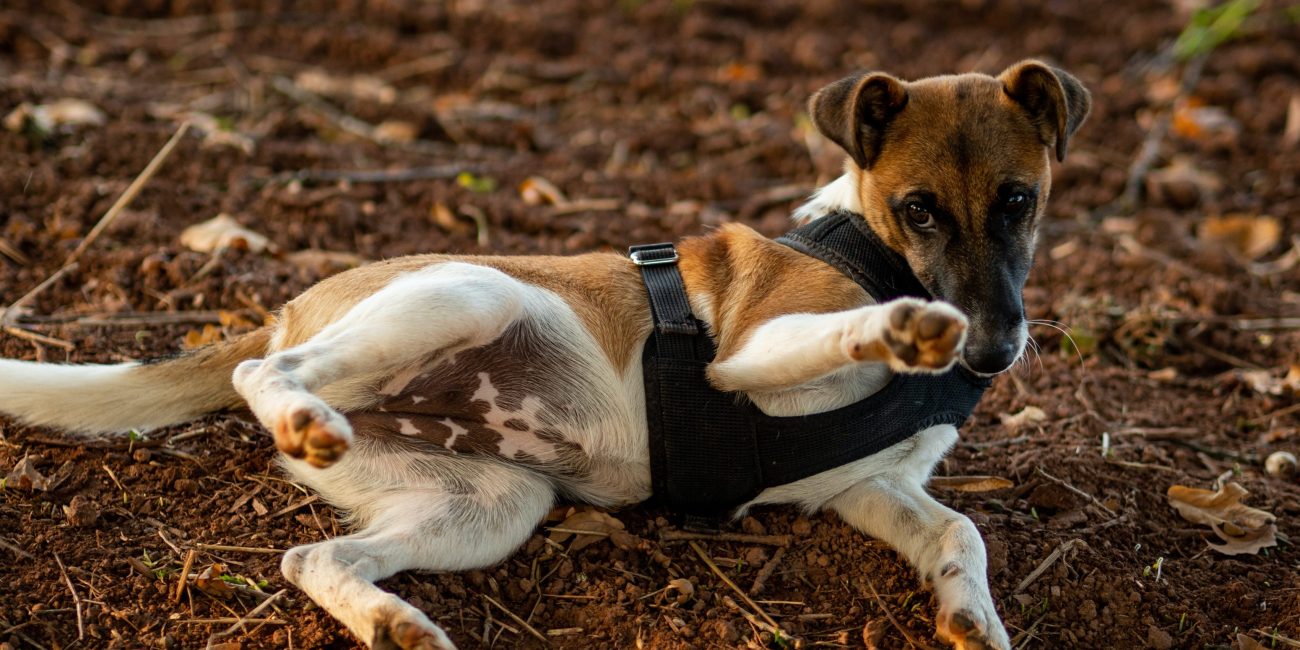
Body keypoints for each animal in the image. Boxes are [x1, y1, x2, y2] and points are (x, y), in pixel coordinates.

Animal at [0, 61, 1092, 650]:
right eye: (918, 209)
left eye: (1019, 201)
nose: (993, 350)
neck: (861, 240)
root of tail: (287, 313)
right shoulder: (745, 357)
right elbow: (848, 331)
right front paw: (906, 322)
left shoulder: (866, 485)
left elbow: (960, 532)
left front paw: (973, 617)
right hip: (471, 293)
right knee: (258, 378)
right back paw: (298, 410)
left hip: (489, 505)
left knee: (314, 553)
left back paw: (391, 619)